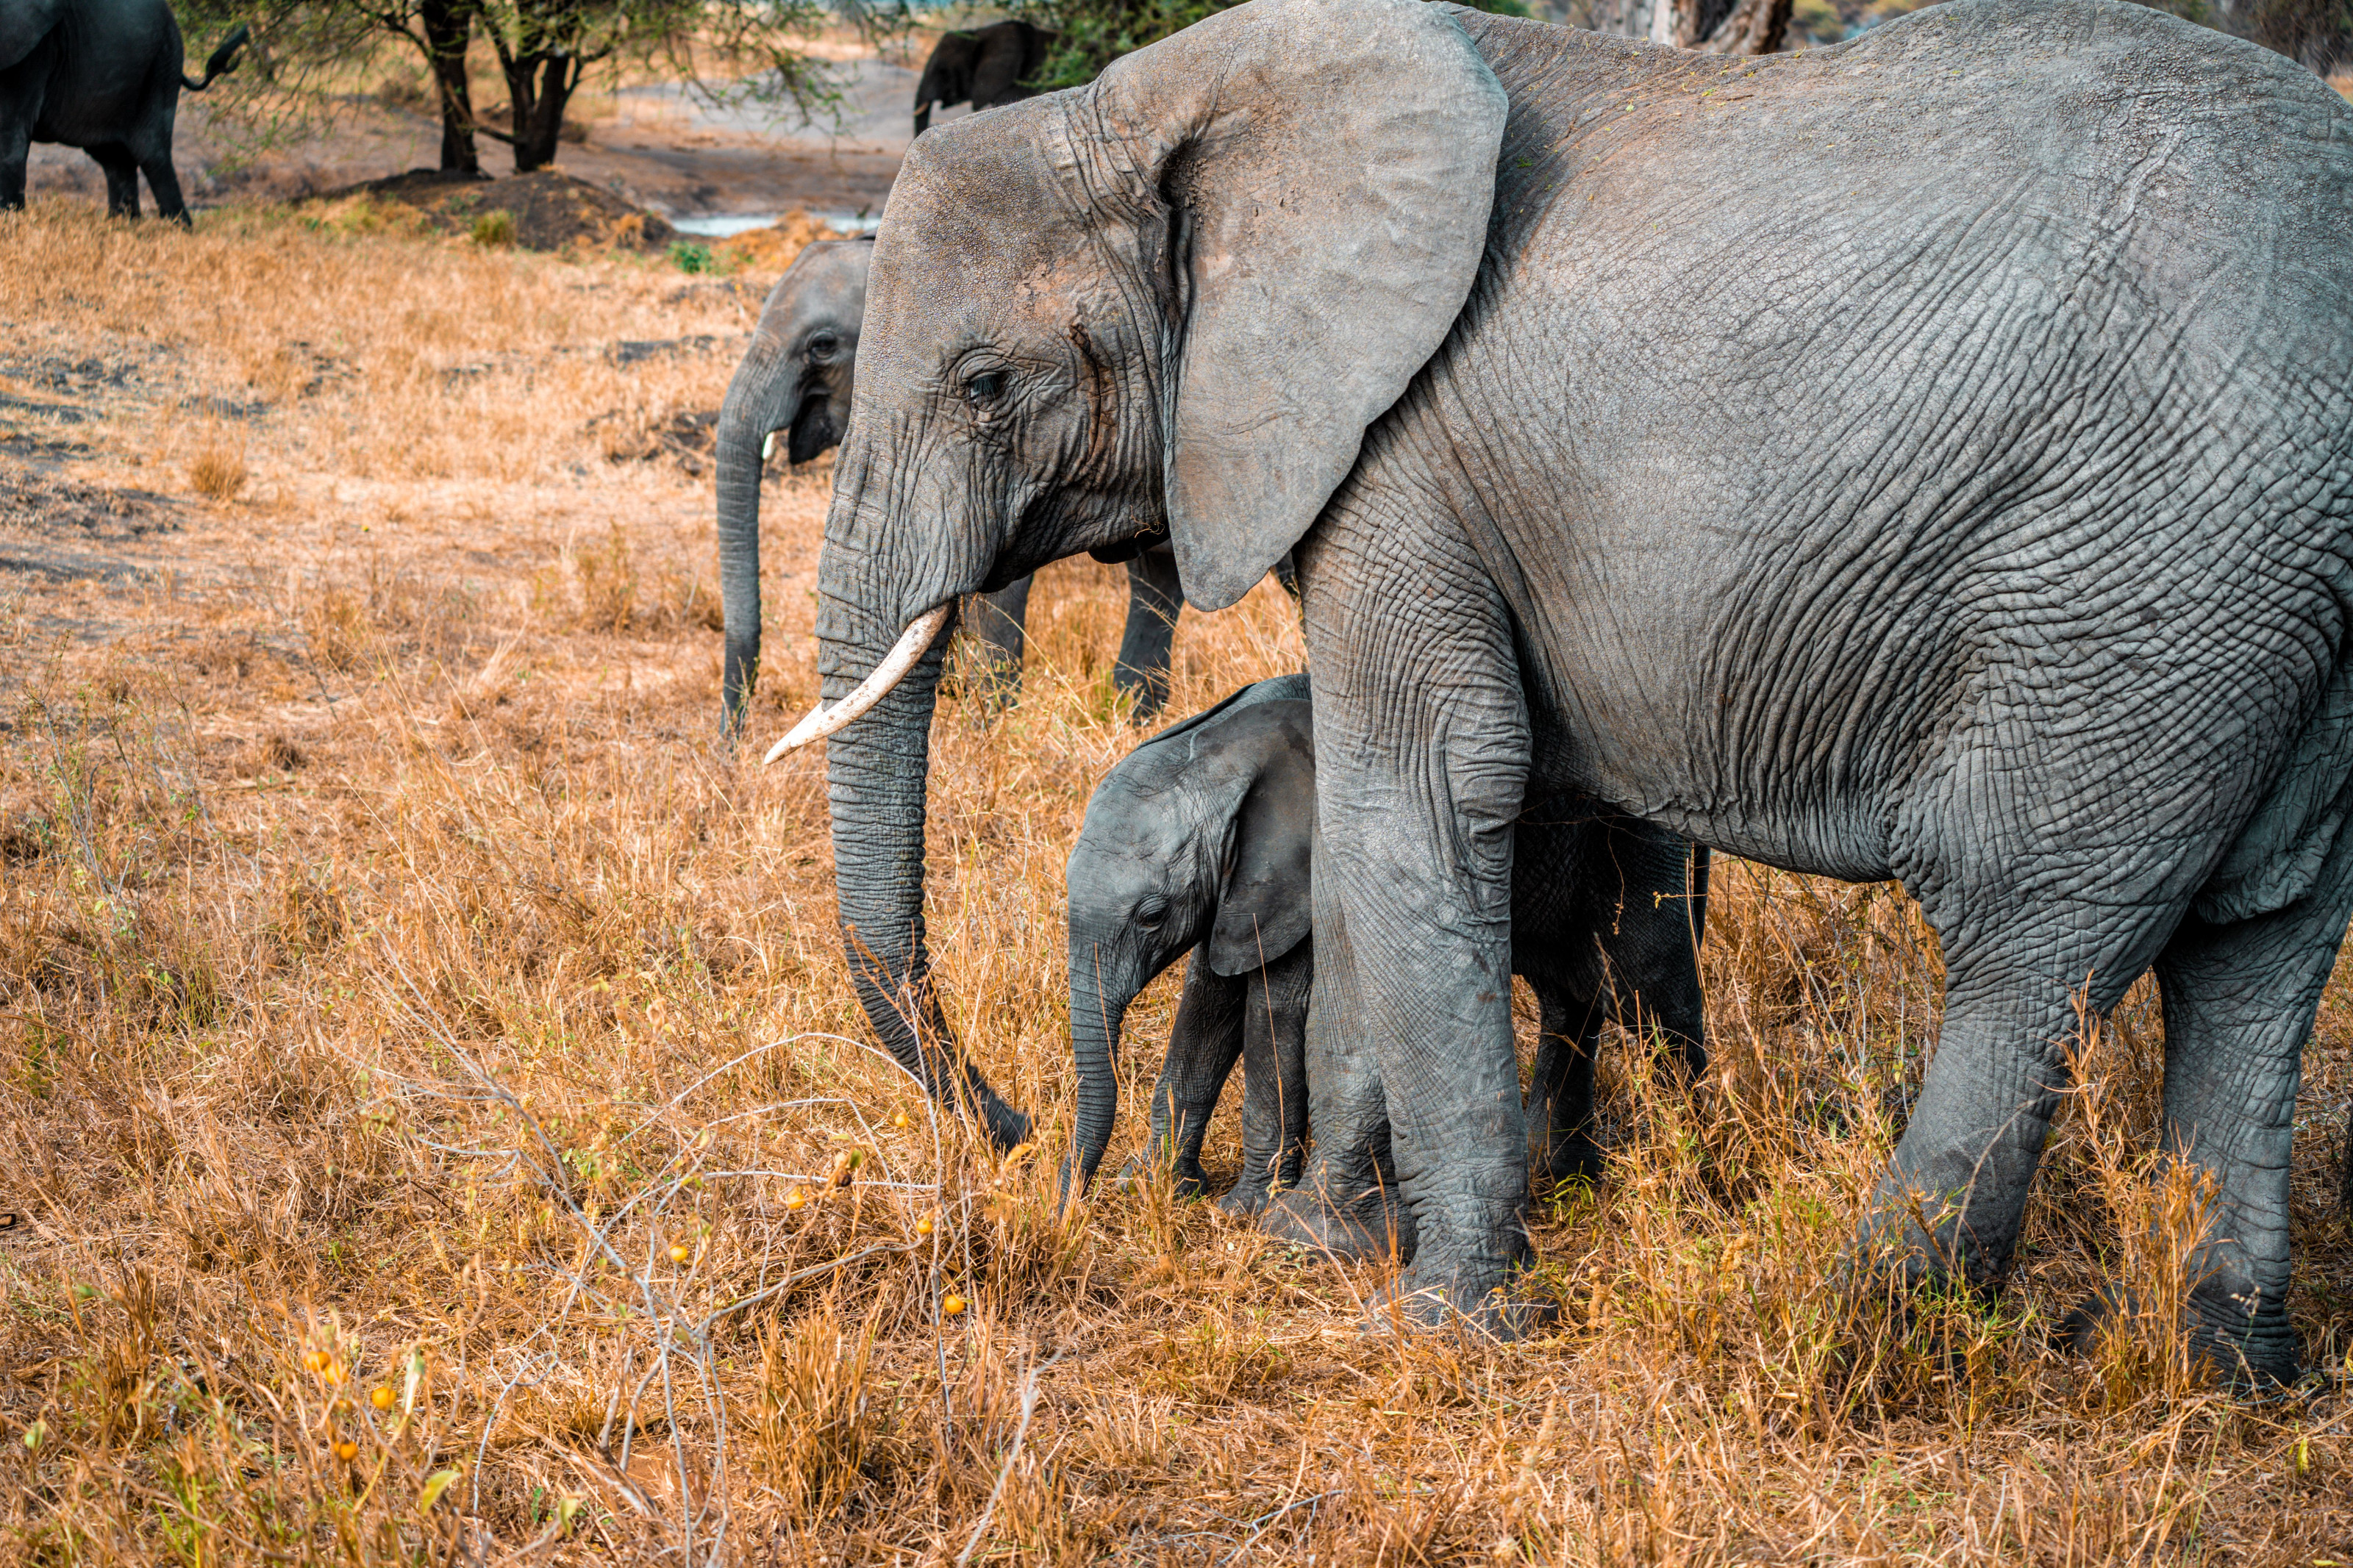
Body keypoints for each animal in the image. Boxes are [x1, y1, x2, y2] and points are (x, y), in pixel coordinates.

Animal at [0, 0, 247, 222]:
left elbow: (10, 140)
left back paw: (178, 231)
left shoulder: (36, 51)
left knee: (152, 153)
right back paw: (125, 227)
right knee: (115, 160)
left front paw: (10, 223)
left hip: (163, 63)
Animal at [1064, 673, 1708, 1221]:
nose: (1070, 1201)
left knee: (1656, 997)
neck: (1216, 747)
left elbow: (1274, 1013)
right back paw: (1559, 1176)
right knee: (1571, 998)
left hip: (1638, 849)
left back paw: (1699, 1168)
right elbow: (1206, 1009)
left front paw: (1242, 1212)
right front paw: (1152, 1185)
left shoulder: (1308, 869)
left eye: (1151, 916)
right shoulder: (1240, 889)